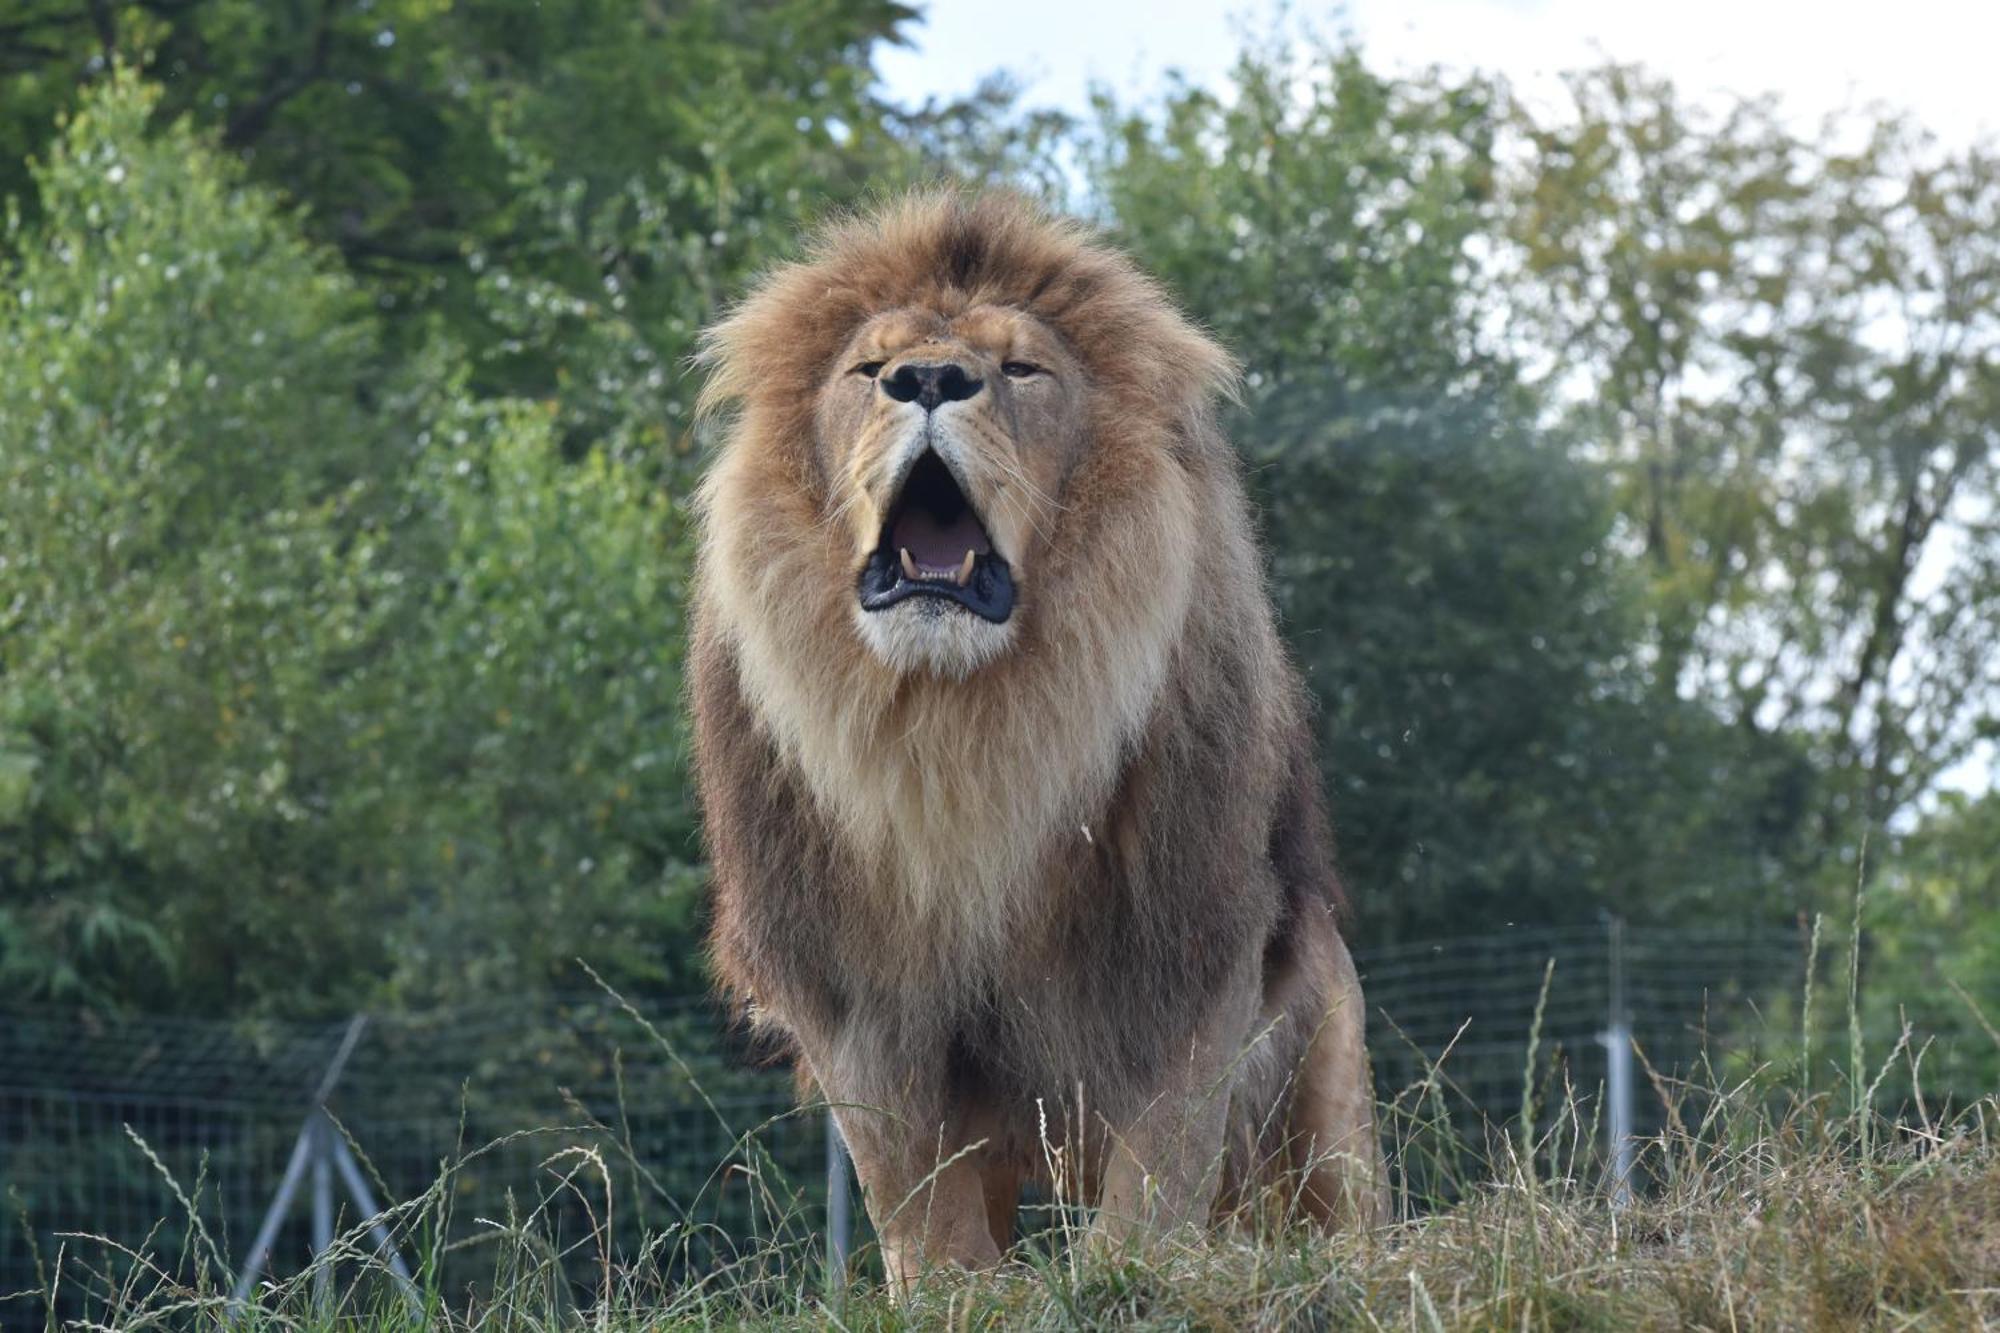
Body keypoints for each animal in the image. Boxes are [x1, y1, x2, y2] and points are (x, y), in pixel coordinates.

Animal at [696, 192, 1384, 1280]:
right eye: (868, 369)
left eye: (1021, 369)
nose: (928, 379)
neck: (964, 724)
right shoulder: (846, 980)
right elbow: (906, 1177)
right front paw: (955, 1290)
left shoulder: (1195, 932)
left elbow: (1165, 1146)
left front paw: (1129, 1273)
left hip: (1332, 1093)